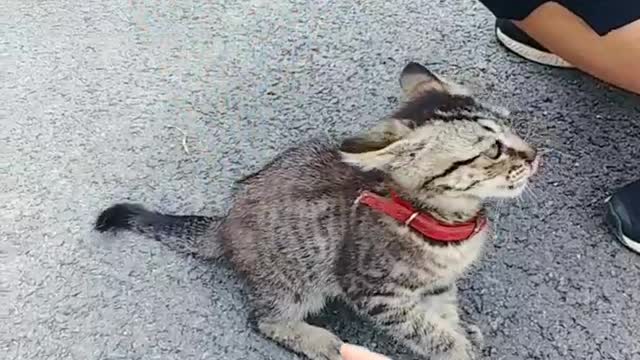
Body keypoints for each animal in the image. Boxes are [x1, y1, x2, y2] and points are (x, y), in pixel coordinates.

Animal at [95, 62, 540, 360]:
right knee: (265, 319)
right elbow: (427, 332)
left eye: (511, 125)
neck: (447, 221)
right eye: (493, 150)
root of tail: (224, 224)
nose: (535, 155)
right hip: (295, 280)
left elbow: (443, 314)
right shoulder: (375, 292)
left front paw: (460, 331)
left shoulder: (437, 285)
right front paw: (456, 348)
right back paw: (321, 342)